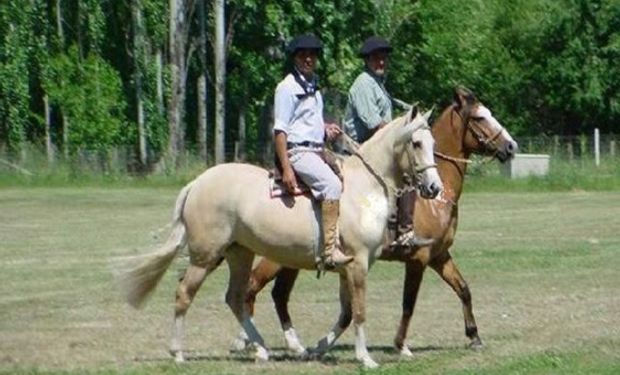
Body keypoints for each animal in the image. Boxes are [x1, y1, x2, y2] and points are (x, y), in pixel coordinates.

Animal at [120, 107, 440, 368]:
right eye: (416, 143)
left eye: (433, 143)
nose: (435, 188)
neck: (363, 189)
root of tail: (197, 183)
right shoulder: (358, 264)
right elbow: (359, 311)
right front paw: (365, 358)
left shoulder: (347, 268)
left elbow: (347, 313)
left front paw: (316, 349)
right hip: (205, 257)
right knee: (185, 294)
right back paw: (178, 352)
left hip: (239, 253)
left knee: (235, 297)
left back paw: (261, 348)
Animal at [237, 86, 520, 358]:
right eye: (480, 117)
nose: (511, 146)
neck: (437, 200)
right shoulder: (418, 259)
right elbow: (408, 303)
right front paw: (401, 345)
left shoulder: (439, 255)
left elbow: (463, 288)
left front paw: (474, 336)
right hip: (276, 258)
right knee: (252, 287)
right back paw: (247, 341)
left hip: (291, 260)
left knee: (278, 294)